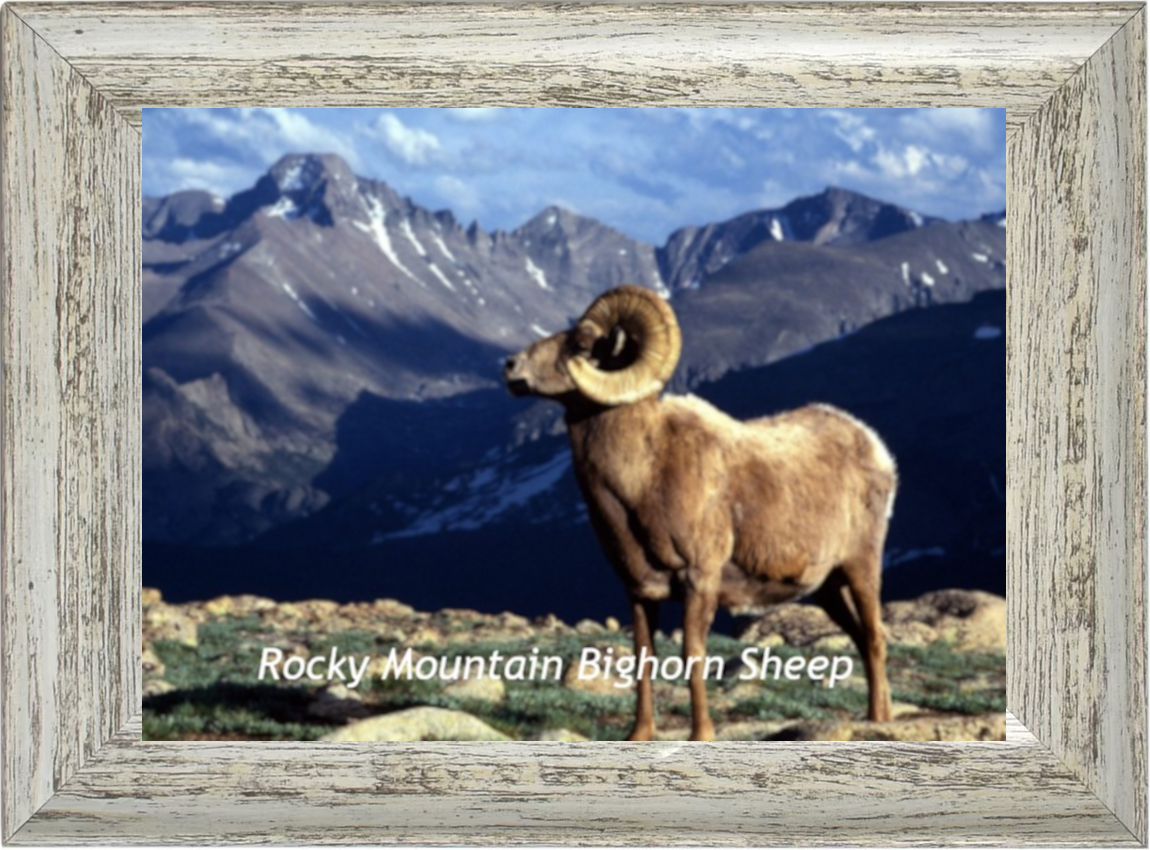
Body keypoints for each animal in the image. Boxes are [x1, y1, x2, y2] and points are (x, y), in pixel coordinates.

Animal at [503, 285, 896, 741]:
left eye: (582, 343)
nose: (510, 368)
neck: (644, 477)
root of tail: (874, 448)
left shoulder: (699, 580)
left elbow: (693, 652)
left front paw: (701, 734)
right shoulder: (639, 590)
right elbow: (643, 656)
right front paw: (639, 734)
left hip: (860, 566)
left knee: (874, 637)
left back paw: (878, 719)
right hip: (828, 587)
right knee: (860, 637)